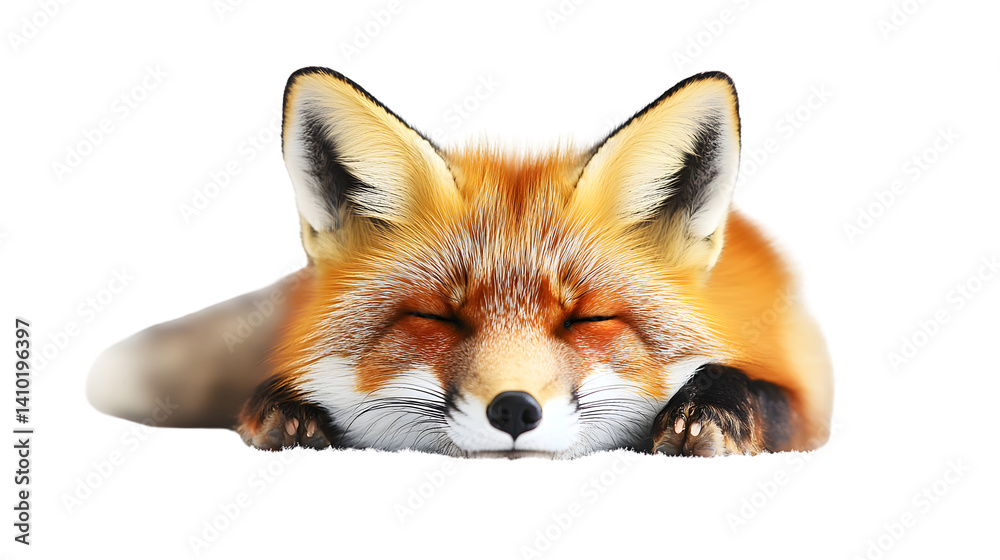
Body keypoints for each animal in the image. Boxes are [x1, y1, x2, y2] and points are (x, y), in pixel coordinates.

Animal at [87, 67, 832, 458]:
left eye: (588, 320)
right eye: (436, 318)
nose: (514, 411)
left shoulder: (806, 388)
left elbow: (767, 397)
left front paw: (709, 408)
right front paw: (290, 409)